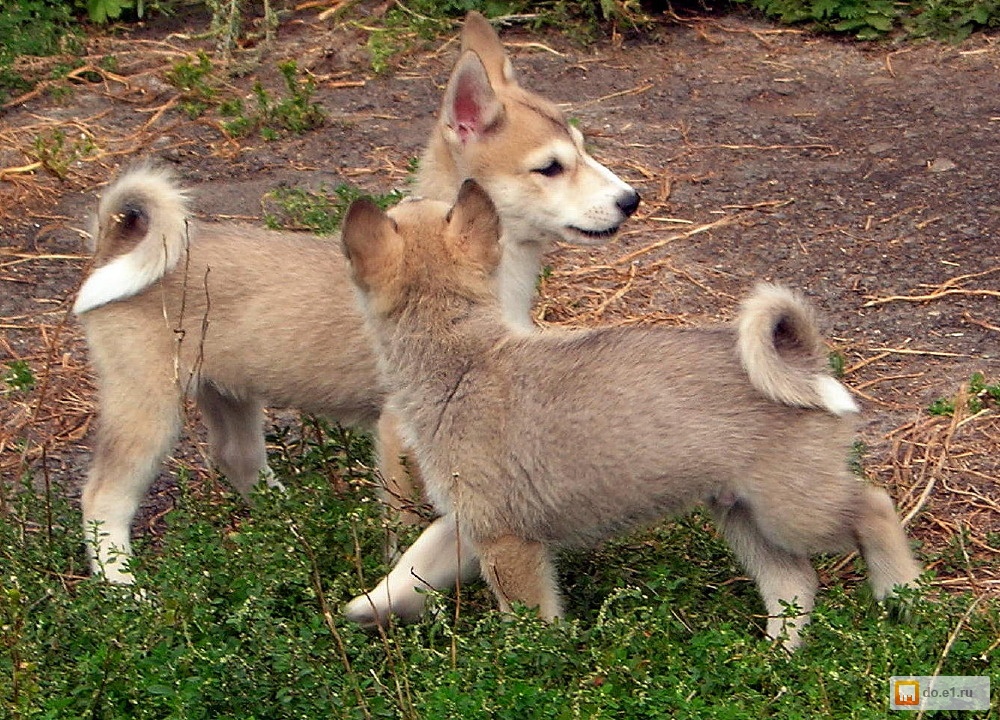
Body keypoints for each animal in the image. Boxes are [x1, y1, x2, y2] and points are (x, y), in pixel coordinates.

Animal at [76, 11, 640, 584]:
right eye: (550, 168)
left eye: (585, 149)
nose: (631, 200)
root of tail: (113, 243)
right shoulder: (397, 432)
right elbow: (407, 520)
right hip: (147, 408)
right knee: (103, 499)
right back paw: (126, 589)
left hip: (229, 393)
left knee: (238, 459)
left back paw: (291, 528)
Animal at [344, 181, 920, 652]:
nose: (411, 193)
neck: (464, 360)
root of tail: (804, 360)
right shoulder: (471, 526)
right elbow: (414, 563)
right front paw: (369, 607)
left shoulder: (506, 542)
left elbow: (531, 622)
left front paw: (535, 664)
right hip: (745, 518)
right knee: (793, 584)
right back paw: (776, 661)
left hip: (794, 511)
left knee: (874, 509)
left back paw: (902, 595)